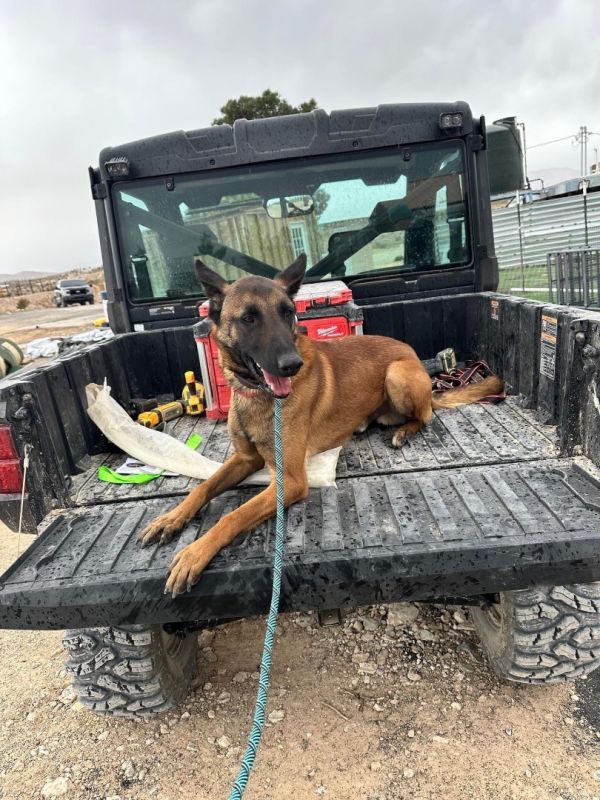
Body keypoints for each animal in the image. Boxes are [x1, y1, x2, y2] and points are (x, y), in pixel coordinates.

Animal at [139, 255, 502, 592]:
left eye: (288, 312)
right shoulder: (244, 459)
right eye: (249, 318)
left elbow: (233, 515)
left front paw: (195, 553)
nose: (292, 365)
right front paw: (172, 518)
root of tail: (414, 358)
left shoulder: (290, 481)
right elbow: (203, 487)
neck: (256, 396)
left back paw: (403, 431)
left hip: (397, 374)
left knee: (425, 415)